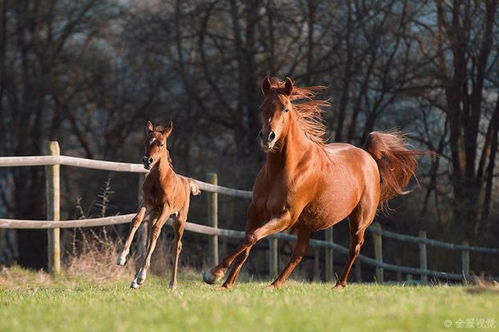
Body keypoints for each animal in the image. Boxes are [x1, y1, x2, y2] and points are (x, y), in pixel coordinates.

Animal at [118, 120, 200, 290]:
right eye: (146, 142)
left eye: (161, 144)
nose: (147, 160)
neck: (159, 179)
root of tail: (187, 182)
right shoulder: (148, 204)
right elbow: (136, 221)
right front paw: (121, 258)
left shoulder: (166, 208)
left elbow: (157, 231)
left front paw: (142, 276)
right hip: (155, 214)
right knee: (150, 241)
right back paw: (135, 281)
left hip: (179, 219)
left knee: (177, 245)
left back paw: (172, 283)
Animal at [204, 76, 422, 290]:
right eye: (261, 107)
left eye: (285, 108)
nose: (267, 137)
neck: (285, 169)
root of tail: (367, 155)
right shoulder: (255, 211)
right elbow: (248, 241)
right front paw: (226, 284)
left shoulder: (286, 216)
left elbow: (253, 237)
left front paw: (214, 274)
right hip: (307, 224)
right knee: (299, 253)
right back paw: (274, 285)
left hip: (359, 220)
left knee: (354, 248)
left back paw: (338, 285)